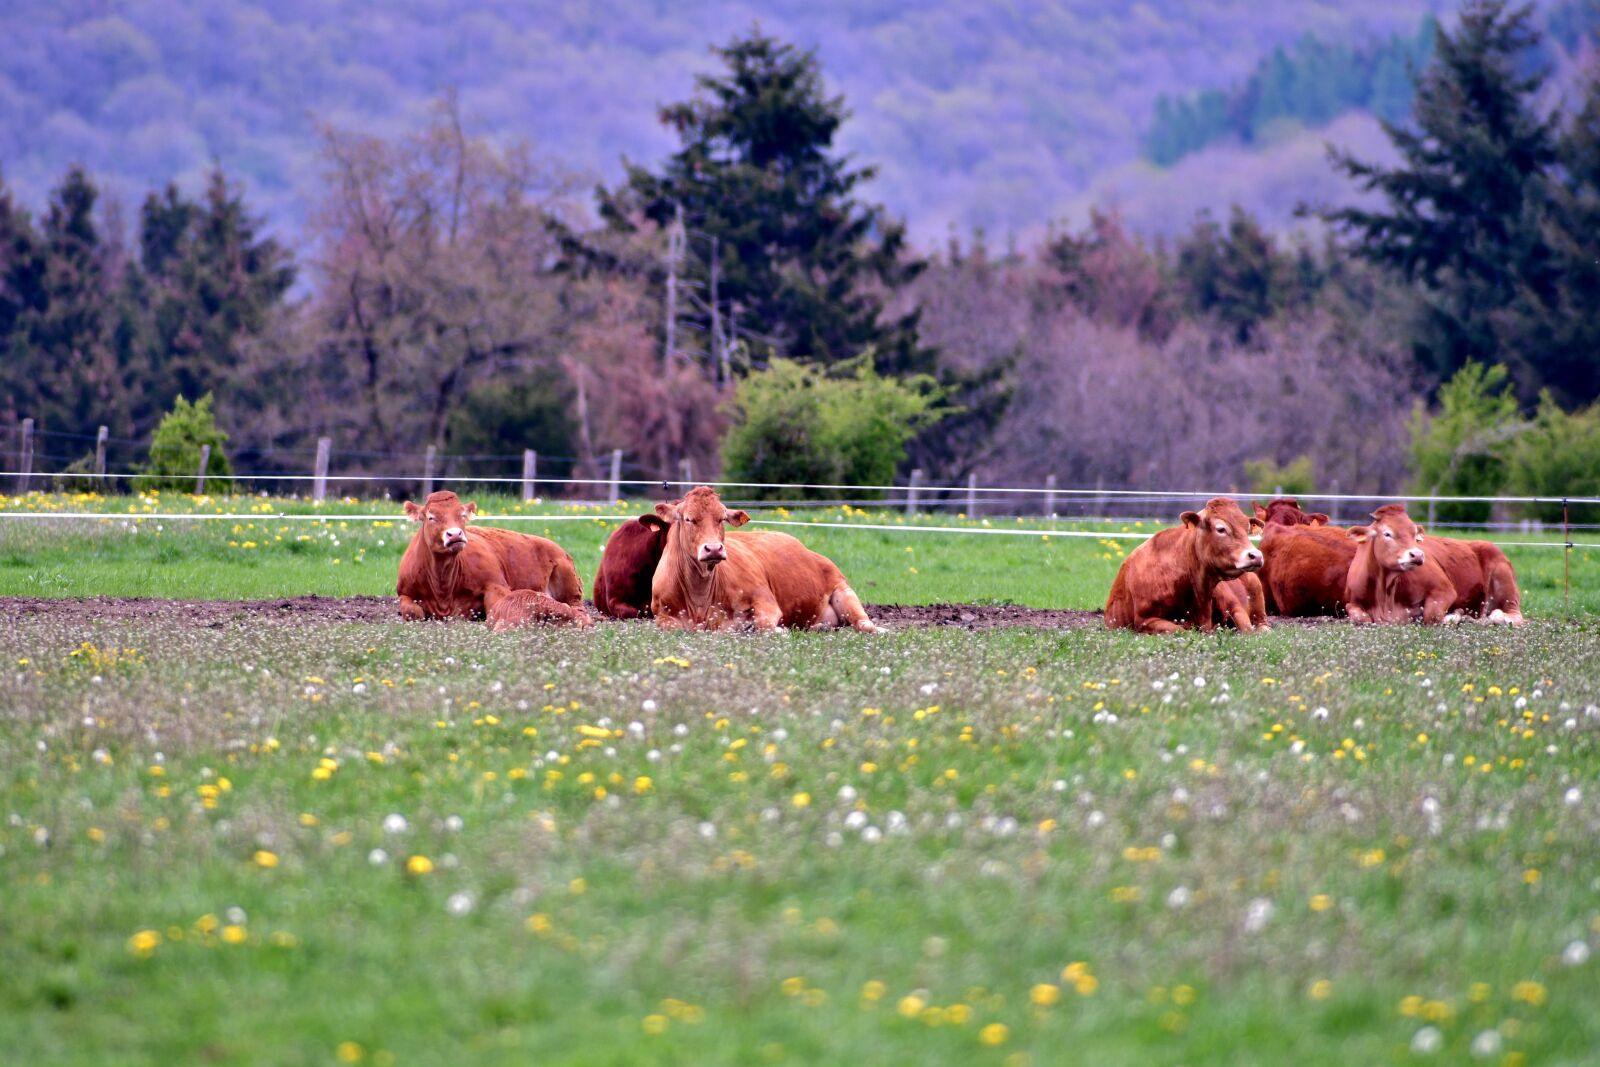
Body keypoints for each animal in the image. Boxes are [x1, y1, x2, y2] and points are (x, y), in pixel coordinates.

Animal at [396, 490, 584, 622]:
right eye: (431, 517)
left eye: (462, 515)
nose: (455, 534)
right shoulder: (404, 592)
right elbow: (413, 611)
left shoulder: (496, 586)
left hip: (570, 586)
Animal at [649, 485, 881, 632]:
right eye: (689, 519)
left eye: (722, 518)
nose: (713, 549)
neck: (700, 596)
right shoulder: (662, 615)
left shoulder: (765, 600)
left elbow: (763, 625)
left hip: (844, 591)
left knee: (864, 624)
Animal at [1104, 497, 1265, 634]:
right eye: (1221, 529)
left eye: (1247, 529)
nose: (1256, 555)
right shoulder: (1144, 620)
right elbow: (1180, 630)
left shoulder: (1234, 606)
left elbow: (1247, 628)